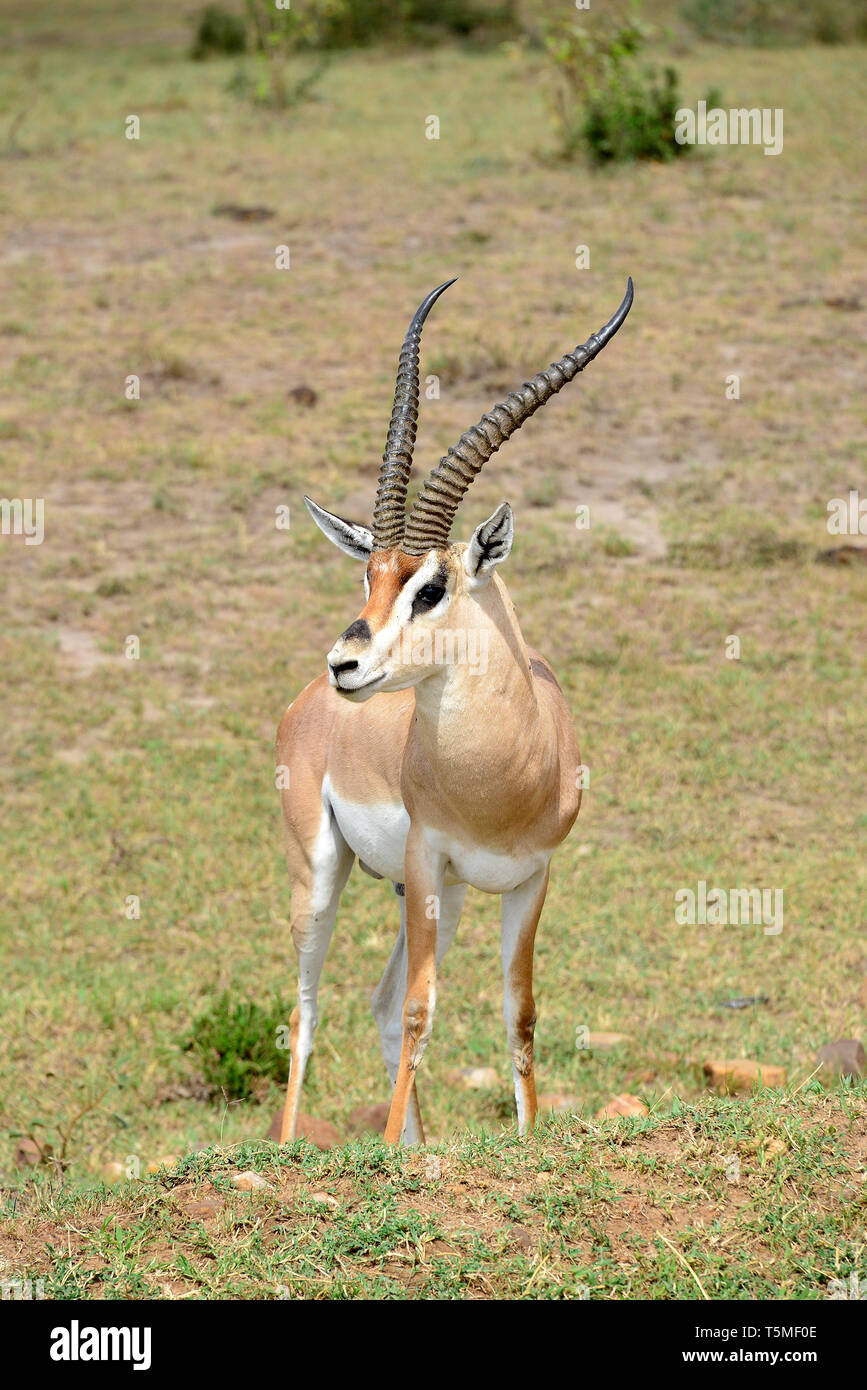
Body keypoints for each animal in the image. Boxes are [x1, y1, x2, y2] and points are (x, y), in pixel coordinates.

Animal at [276, 277, 634, 1145]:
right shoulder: (425, 857)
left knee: (374, 1003)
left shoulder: (530, 878)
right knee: (306, 1011)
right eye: (368, 576)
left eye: (431, 586)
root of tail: (306, 705)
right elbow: (420, 1010)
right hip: (325, 871)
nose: (345, 662)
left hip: (443, 896)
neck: (501, 780)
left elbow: (519, 1012)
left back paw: (409, 1146)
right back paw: (289, 1146)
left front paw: (526, 1136)